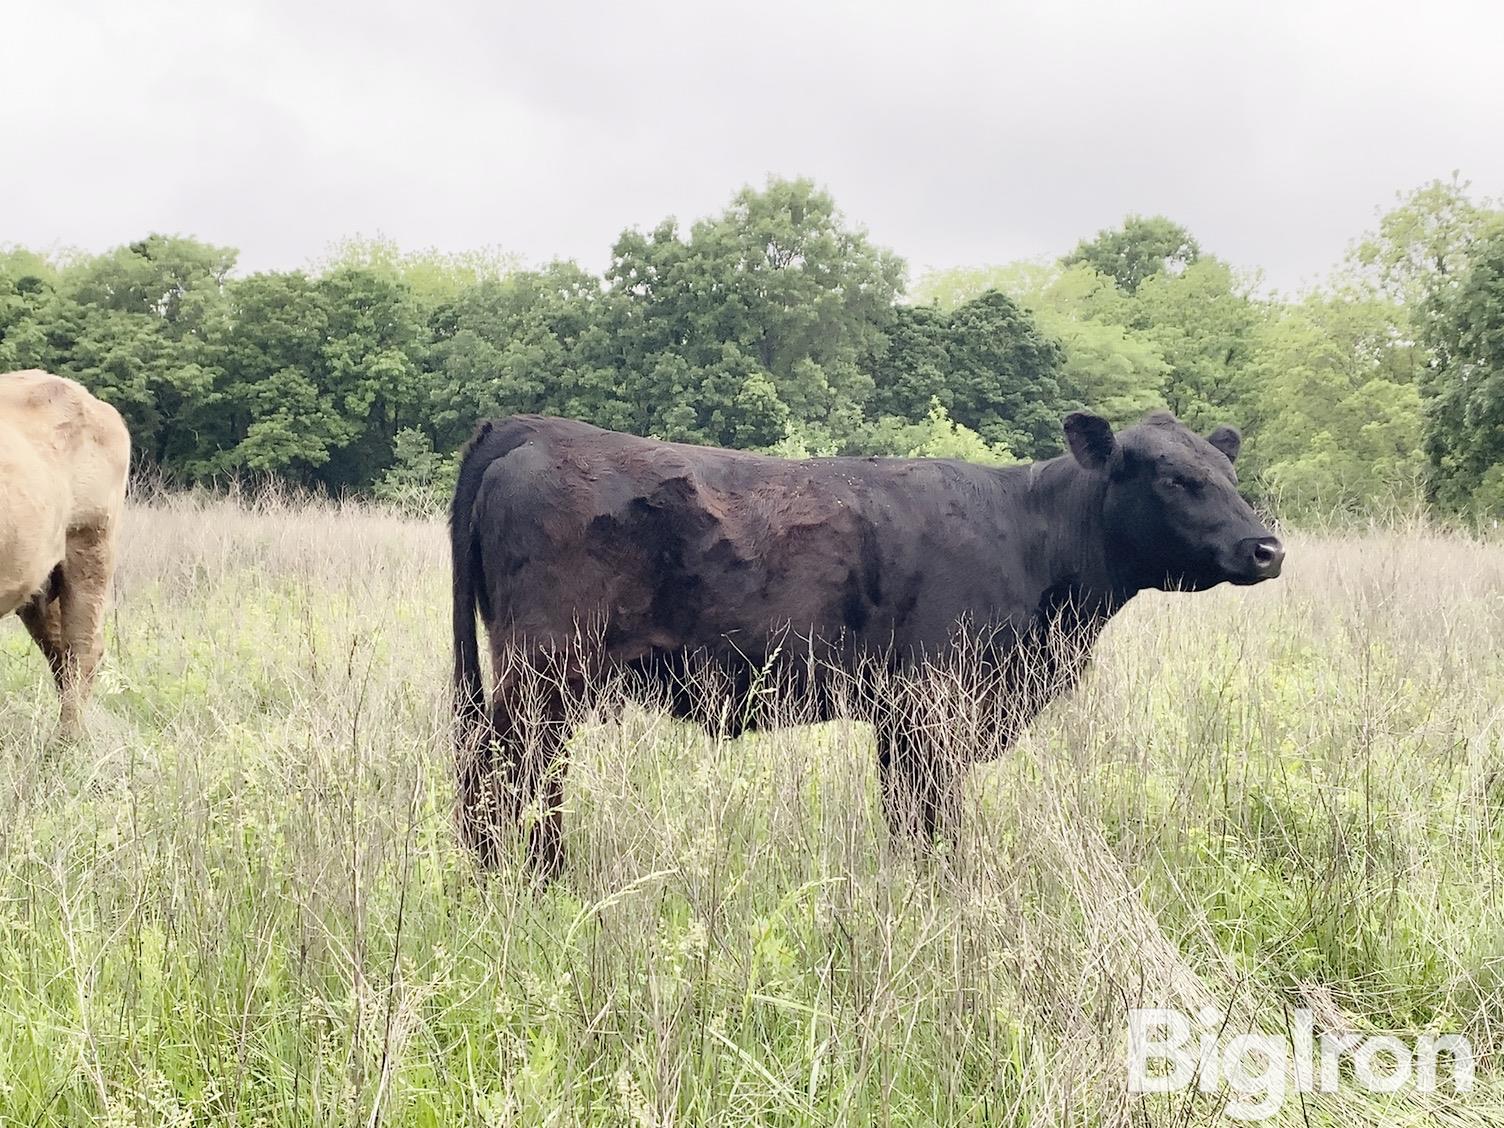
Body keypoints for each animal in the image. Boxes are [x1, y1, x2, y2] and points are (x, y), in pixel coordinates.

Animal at [445, 412, 1281, 878]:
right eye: (1171, 477)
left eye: (1227, 470)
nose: (1266, 547)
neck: (1032, 534)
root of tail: (531, 427)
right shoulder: (932, 707)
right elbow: (932, 822)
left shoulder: (902, 719)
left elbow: (909, 821)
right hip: (544, 670)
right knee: (505, 774)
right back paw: (528, 884)